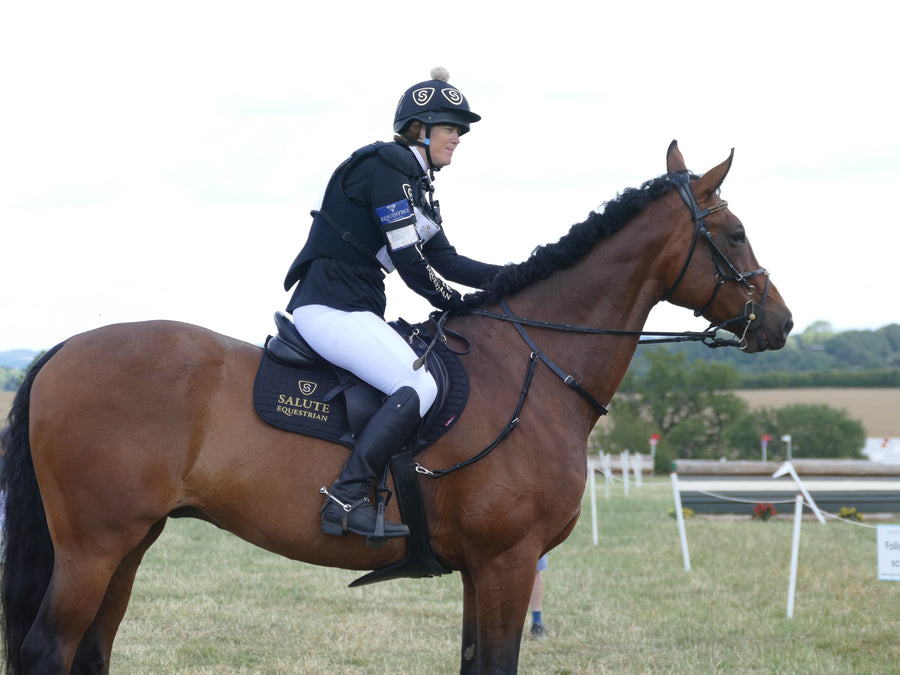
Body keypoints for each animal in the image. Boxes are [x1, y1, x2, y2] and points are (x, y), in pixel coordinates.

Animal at [0, 140, 792, 672]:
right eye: (733, 234)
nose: (780, 323)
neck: (532, 363)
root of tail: (63, 348)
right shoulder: (508, 561)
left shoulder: (485, 570)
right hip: (94, 546)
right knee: (49, 648)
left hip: (129, 543)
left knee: (91, 648)